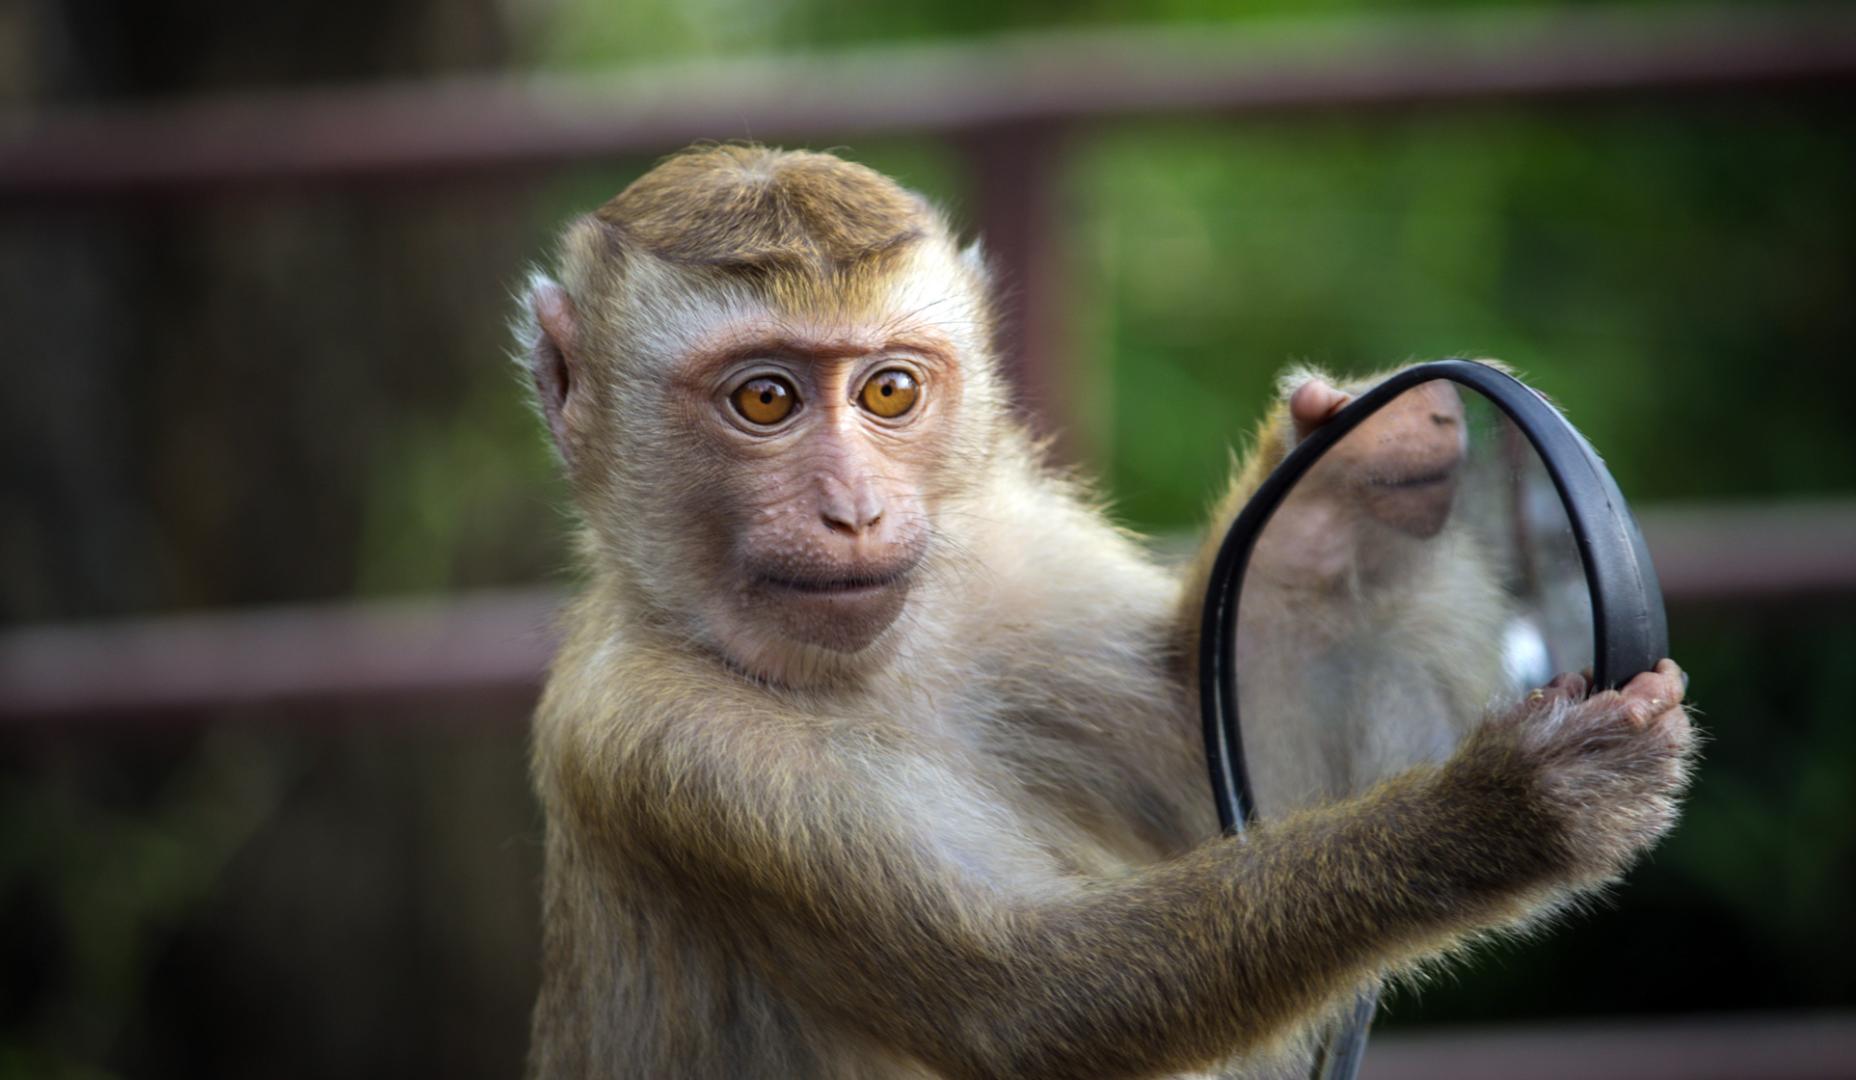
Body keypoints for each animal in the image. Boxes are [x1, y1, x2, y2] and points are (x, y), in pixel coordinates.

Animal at [513, 144, 1695, 1080]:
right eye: (764, 399)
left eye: (889, 391)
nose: (853, 510)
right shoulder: (666, 747)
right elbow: (1029, 999)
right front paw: (1503, 812)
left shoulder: (1012, 565)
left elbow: (1214, 743)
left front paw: (1344, 479)